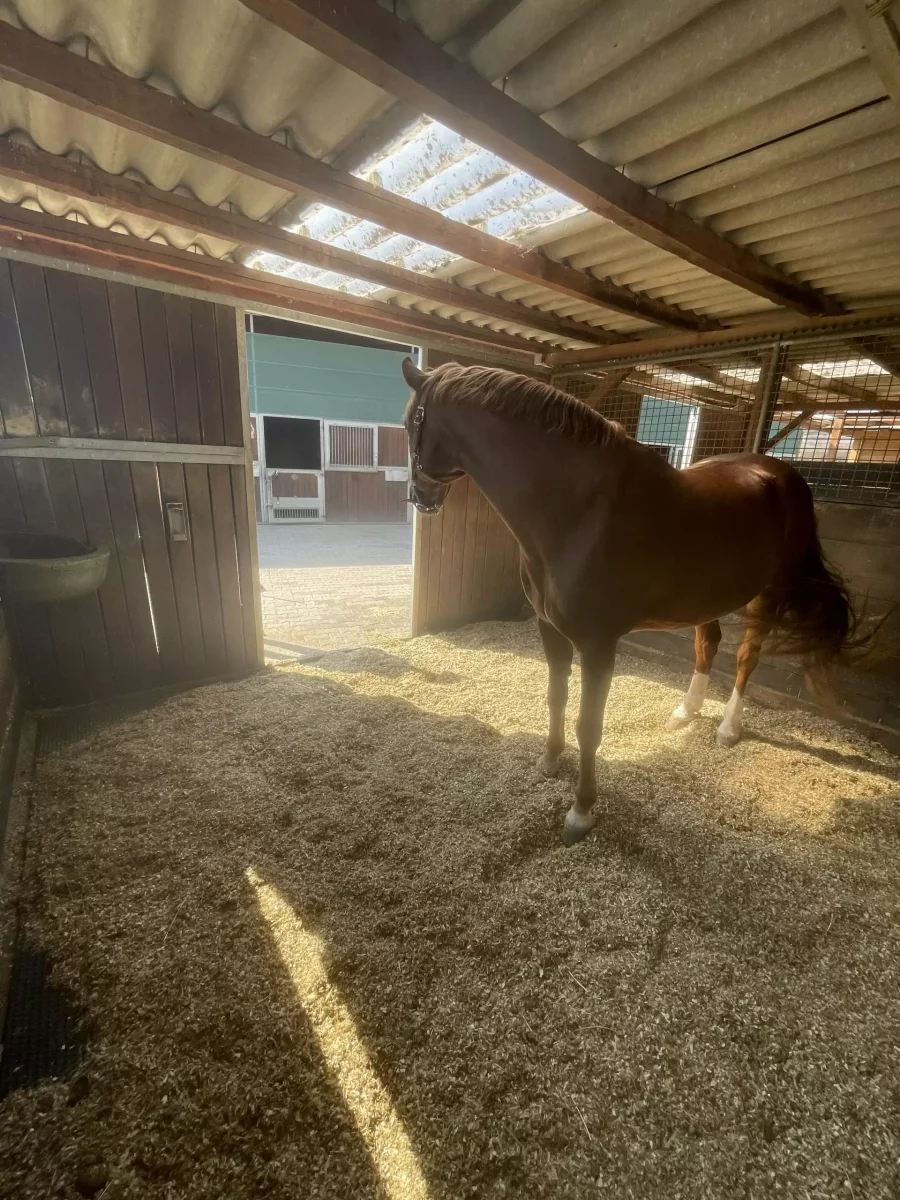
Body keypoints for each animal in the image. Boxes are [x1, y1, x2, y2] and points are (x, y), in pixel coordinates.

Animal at [401, 356, 866, 846]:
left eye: (410, 422)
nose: (419, 496)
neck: (578, 512)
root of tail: (785, 474)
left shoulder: (598, 644)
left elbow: (589, 726)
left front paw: (581, 811)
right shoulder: (549, 629)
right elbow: (555, 697)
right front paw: (549, 761)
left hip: (767, 596)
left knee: (745, 658)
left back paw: (727, 728)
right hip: (707, 597)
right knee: (708, 644)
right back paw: (686, 711)